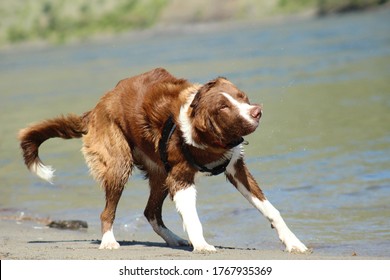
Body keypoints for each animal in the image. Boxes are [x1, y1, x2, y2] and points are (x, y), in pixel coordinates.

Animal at [19, 68, 308, 254]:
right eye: (223, 108)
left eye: (241, 96)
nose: (256, 111)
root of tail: (95, 109)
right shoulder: (180, 177)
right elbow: (193, 217)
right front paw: (202, 245)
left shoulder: (236, 168)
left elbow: (270, 209)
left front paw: (293, 243)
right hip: (120, 163)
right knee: (108, 210)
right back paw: (109, 241)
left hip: (159, 171)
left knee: (151, 211)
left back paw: (174, 239)